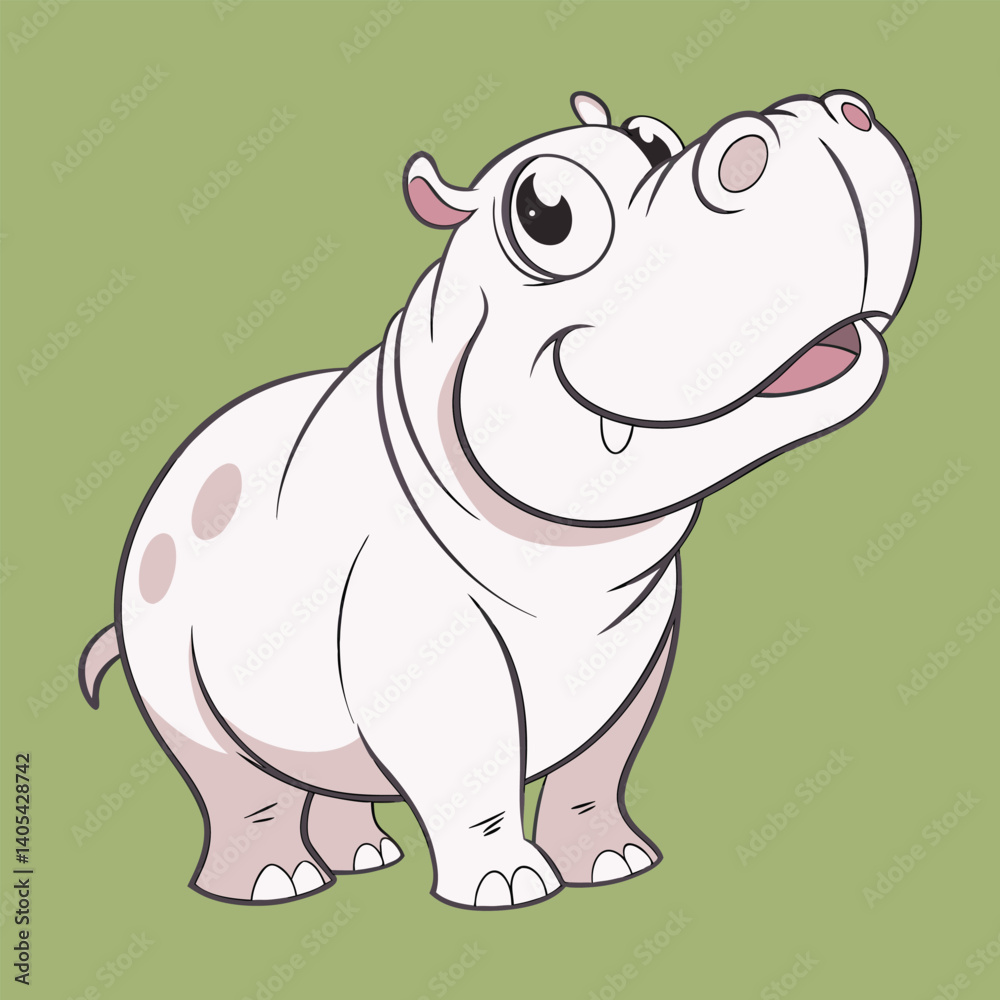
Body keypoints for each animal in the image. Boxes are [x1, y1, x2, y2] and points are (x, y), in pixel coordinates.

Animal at [80, 90, 920, 910]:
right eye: (545, 211)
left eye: (654, 140)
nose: (817, 119)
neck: (568, 555)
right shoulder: (421, 637)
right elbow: (470, 768)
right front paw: (507, 888)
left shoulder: (642, 639)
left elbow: (600, 766)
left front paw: (614, 863)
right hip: (167, 632)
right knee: (233, 776)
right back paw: (275, 884)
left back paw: (366, 857)